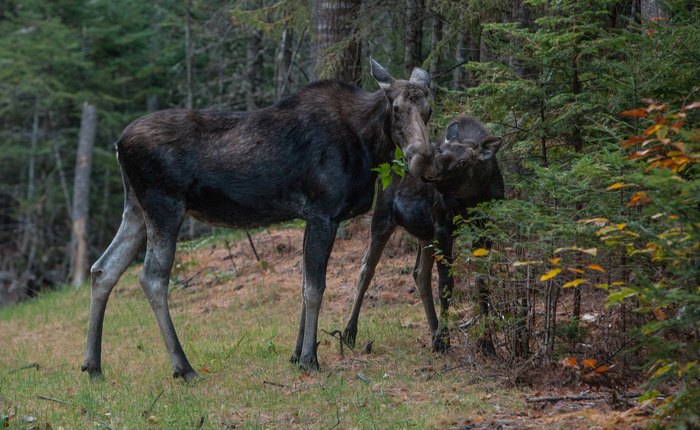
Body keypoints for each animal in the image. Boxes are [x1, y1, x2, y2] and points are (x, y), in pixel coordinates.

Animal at [82, 58, 432, 382]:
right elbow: (315, 288)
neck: (368, 146)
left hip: (135, 209)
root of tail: (119, 144)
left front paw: (296, 354)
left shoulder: (310, 215)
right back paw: (183, 367)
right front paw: (310, 358)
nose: (423, 155)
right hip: (164, 206)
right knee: (152, 278)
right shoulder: (323, 212)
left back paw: (93, 365)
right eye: (396, 108)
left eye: (428, 109)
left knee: (103, 269)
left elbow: (303, 284)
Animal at [340, 115, 504, 352]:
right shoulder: (443, 226)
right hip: (383, 217)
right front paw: (445, 339)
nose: (429, 172)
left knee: (419, 273)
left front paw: (486, 342)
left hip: (425, 233)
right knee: (366, 268)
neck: (473, 197)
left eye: (463, 162)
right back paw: (349, 332)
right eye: (440, 150)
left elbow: (482, 282)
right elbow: (446, 283)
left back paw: (434, 331)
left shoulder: (484, 227)